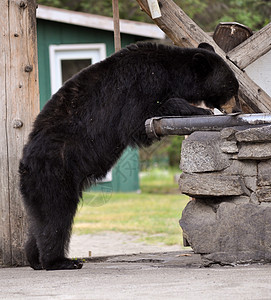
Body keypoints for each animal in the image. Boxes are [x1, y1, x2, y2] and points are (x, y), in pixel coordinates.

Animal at [19, 41, 240, 270]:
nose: (236, 107)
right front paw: (198, 110)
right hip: (57, 169)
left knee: (41, 218)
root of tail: (25, 161)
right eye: (231, 88)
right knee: (56, 213)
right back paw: (60, 261)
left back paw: (35, 259)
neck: (170, 72)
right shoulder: (141, 84)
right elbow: (138, 118)